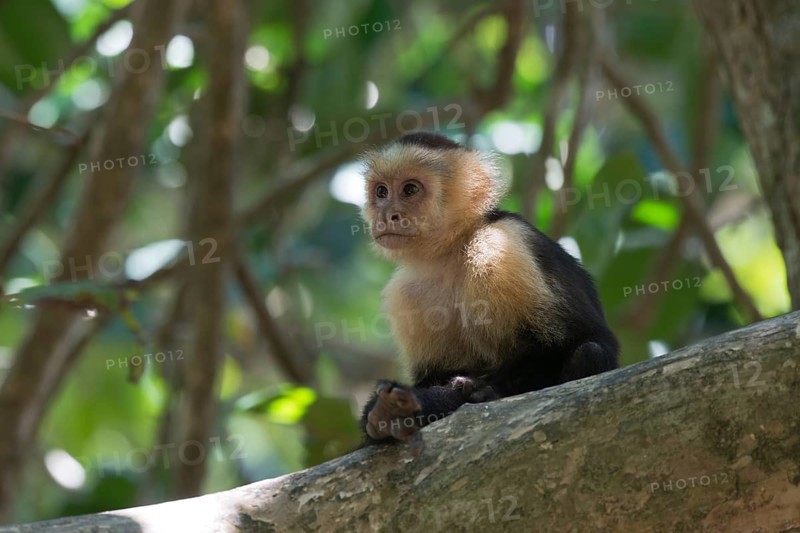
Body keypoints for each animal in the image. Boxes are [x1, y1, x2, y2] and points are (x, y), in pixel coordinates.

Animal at [358, 131, 618, 450]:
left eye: (410, 189)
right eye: (381, 192)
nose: (388, 215)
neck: (450, 251)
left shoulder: (501, 246)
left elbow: (564, 343)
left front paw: (443, 398)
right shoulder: (405, 293)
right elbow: (434, 374)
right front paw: (392, 409)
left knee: (590, 351)